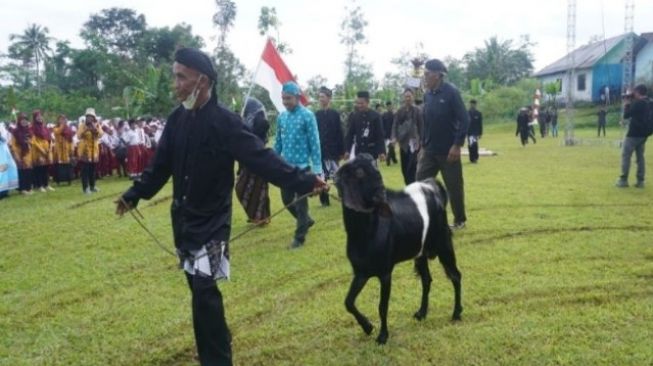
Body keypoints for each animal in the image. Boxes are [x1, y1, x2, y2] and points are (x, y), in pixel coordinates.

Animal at [334, 153, 460, 344]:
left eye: (376, 168)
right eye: (359, 172)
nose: (382, 194)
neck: (365, 232)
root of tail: (432, 186)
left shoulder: (385, 273)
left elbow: (382, 306)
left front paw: (383, 336)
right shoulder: (361, 272)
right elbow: (348, 302)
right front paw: (368, 327)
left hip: (444, 244)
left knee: (455, 276)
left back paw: (456, 314)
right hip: (421, 253)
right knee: (426, 280)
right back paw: (421, 313)